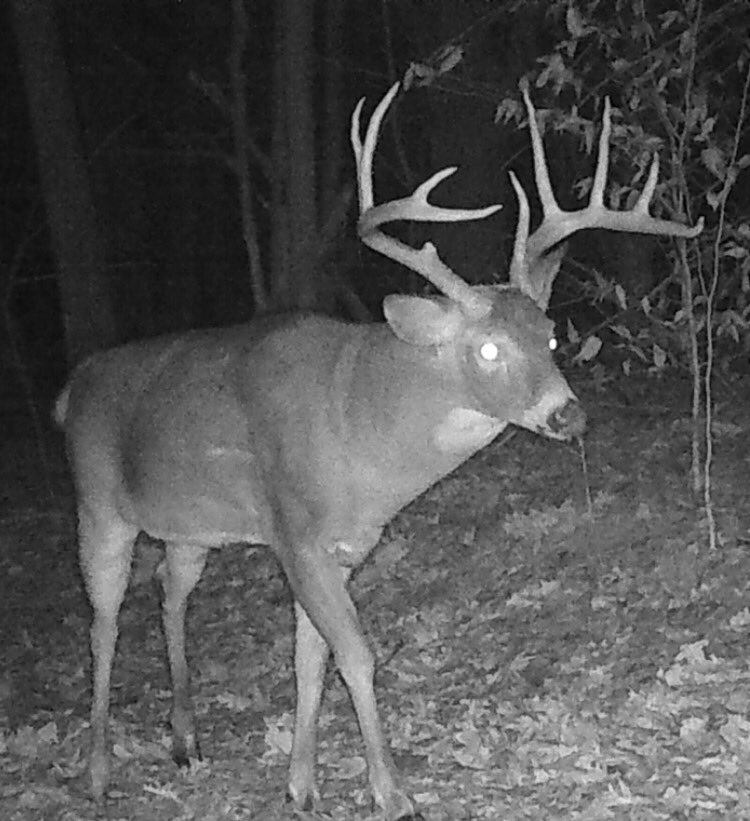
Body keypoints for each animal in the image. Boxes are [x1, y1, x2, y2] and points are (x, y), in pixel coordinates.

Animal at [54, 80, 703, 820]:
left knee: (169, 588)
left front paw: (301, 784)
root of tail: (70, 389)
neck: (361, 433)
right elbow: (357, 656)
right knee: (102, 621)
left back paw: (186, 741)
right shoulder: (295, 534)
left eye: (549, 337)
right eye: (487, 349)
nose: (568, 414)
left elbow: (310, 660)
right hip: (98, 504)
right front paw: (391, 791)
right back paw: (98, 772)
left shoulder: (340, 547)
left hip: (190, 527)